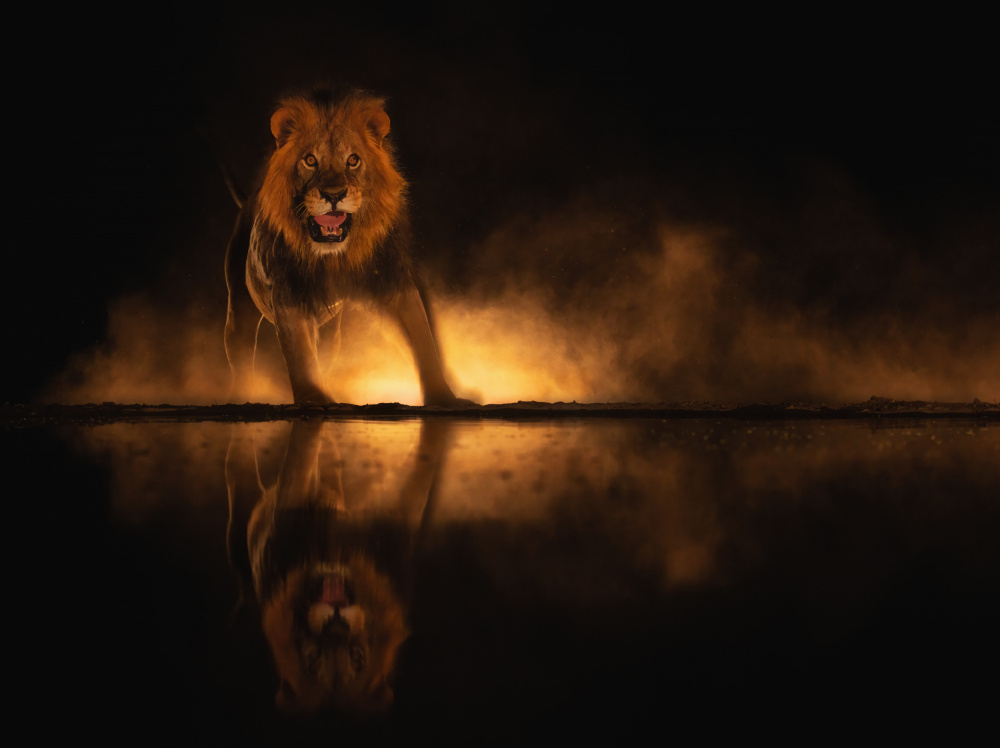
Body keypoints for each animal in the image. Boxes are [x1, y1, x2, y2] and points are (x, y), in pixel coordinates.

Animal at [224, 87, 465, 405]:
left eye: (353, 160)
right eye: (310, 160)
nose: (334, 195)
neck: (333, 257)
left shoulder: (393, 283)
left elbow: (423, 340)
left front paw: (444, 397)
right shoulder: (289, 294)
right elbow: (300, 357)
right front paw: (315, 400)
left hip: (330, 333)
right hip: (239, 309)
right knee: (241, 356)